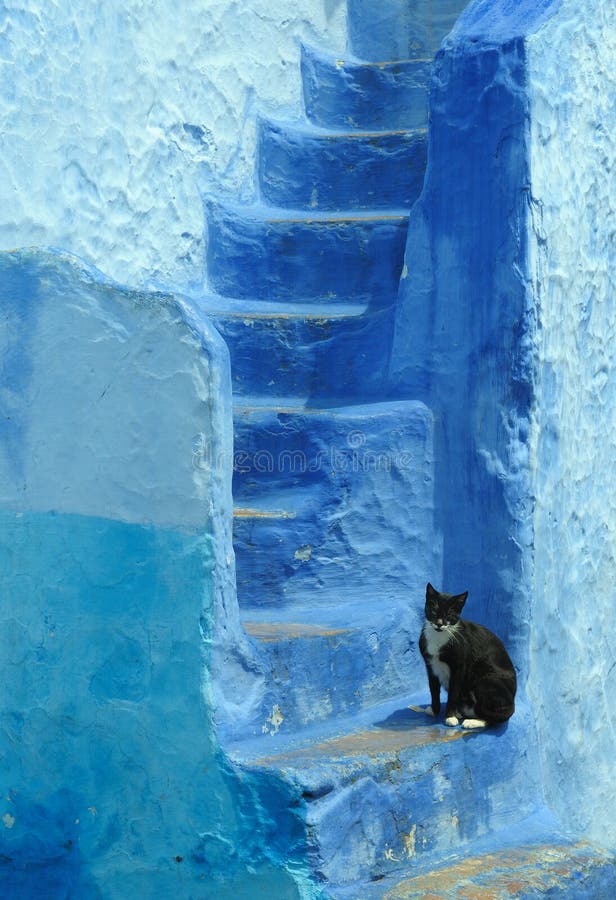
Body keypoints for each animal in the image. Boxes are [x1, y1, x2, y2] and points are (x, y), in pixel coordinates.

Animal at [418, 588, 516, 728]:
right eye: (434, 610)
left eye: (449, 614)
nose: (439, 624)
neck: (440, 636)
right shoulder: (430, 665)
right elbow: (433, 689)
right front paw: (434, 710)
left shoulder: (459, 667)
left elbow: (453, 692)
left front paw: (450, 716)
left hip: (486, 680)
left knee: (496, 716)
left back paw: (472, 721)